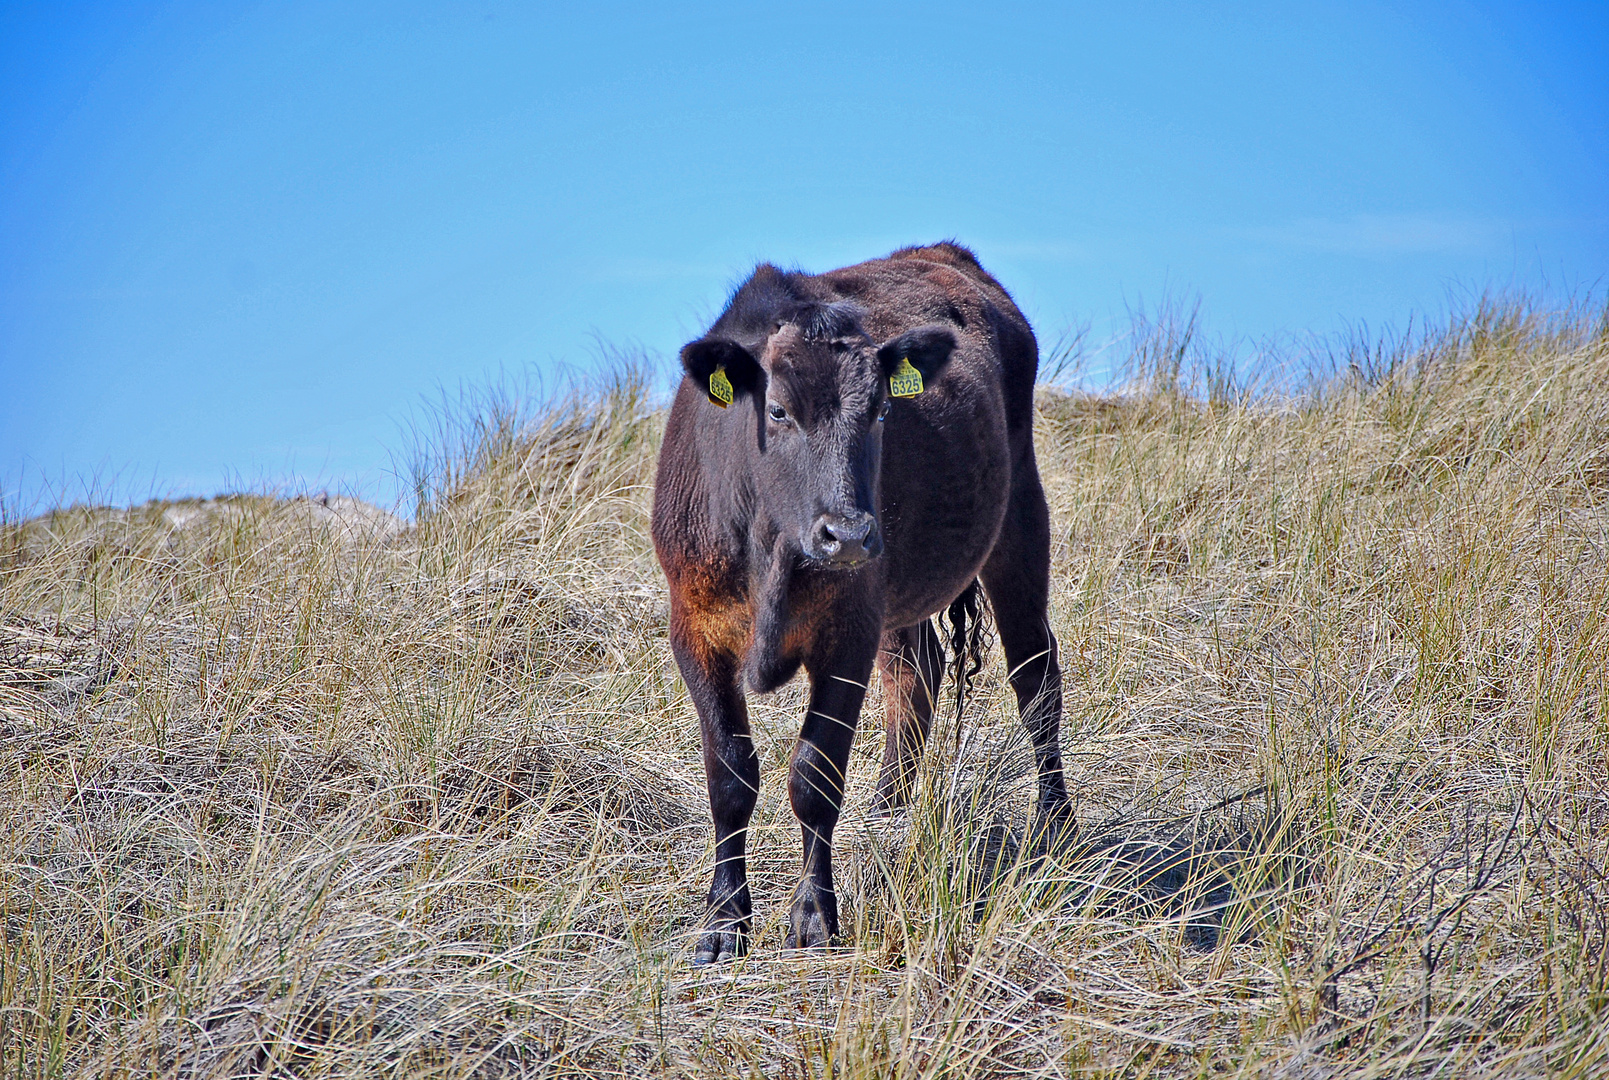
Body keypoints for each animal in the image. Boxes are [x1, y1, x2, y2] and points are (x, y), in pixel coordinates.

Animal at [653, 243, 1068, 965]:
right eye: (778, 411)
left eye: (878, 411)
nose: (846, 534)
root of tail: (945, 253)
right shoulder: (695, 630)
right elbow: (729, 776)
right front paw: (724, 922)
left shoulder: (845, 634)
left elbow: (813, 776)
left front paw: (814, 916)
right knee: (917, 670)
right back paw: (890, 807)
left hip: (1018, 516)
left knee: (1035, 677)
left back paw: (1055, 831)